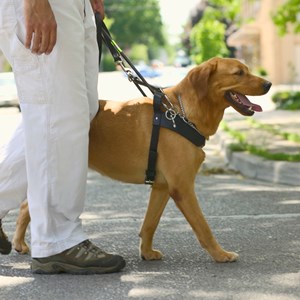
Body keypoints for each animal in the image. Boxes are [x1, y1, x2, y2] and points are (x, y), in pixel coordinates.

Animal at [4, 57, 272, 262]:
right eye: (239, 73)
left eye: (247, 69)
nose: (269, 83)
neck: (180, 113)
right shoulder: (183, 187)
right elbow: (203, 227)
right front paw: (220, 254)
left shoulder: (163, 187)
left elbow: (149, 224)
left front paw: (146, 252)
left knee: (27, 205)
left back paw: (19, 243)